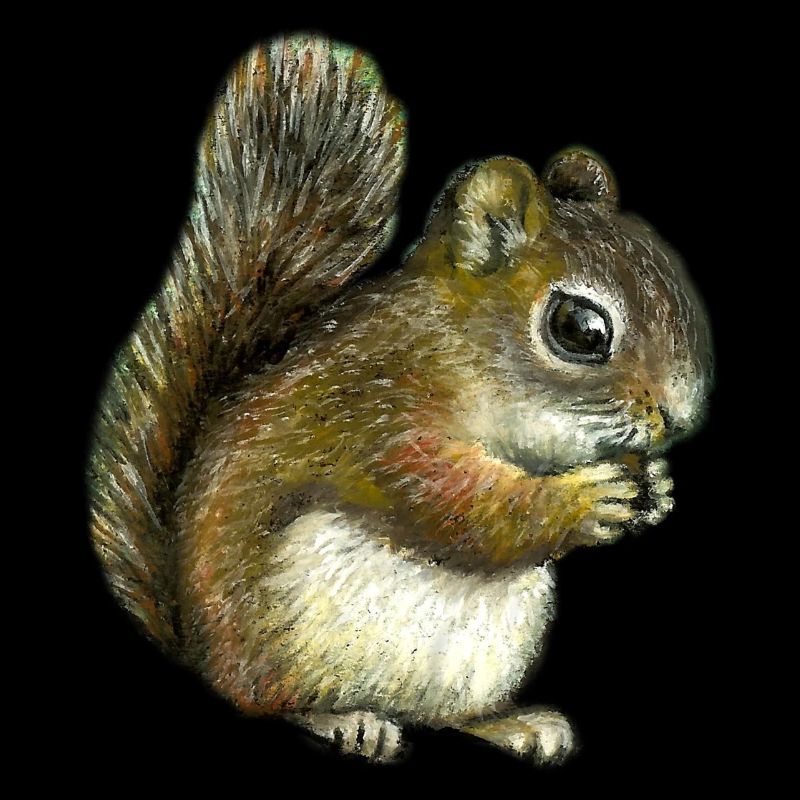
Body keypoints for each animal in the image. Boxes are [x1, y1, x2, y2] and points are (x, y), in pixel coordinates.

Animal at [88, 34, 712, 763]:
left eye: (664, 267)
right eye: (581, 329)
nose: (680, 414)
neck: (461, 347)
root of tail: (200, 651)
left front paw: (657, 488)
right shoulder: (376, 411)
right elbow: (455, 503)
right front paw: (584, 500)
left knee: (442, 714)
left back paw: (512, 723)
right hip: (286, 629)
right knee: (270, 699)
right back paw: (342, 720)